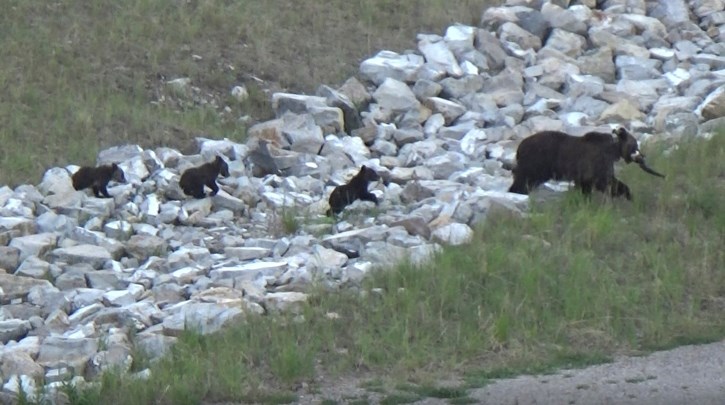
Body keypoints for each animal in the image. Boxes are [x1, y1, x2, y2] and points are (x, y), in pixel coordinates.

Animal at [510, 127, 660, 200]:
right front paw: (628, 195)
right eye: (635, 145)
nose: (642, 156)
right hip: (535, 163)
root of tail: (519, 147)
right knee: (522, 180)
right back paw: (516, 193)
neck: (612, 151)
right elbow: (605, 182)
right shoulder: (595, 164)